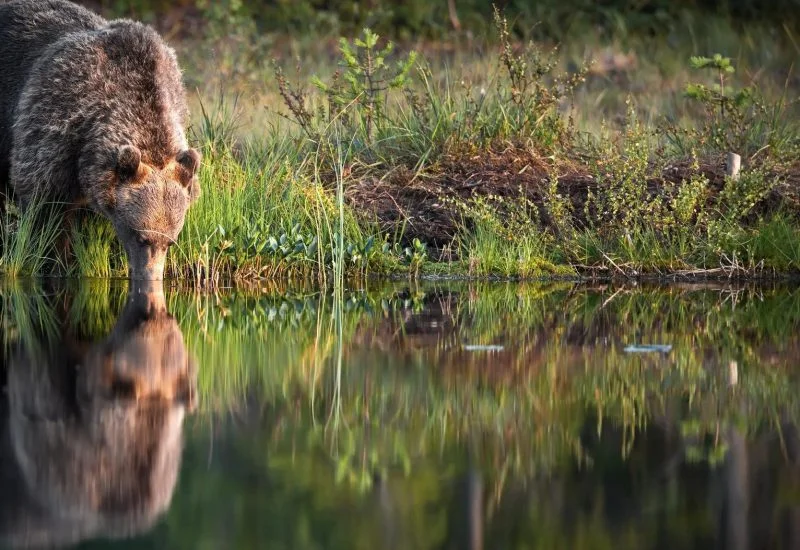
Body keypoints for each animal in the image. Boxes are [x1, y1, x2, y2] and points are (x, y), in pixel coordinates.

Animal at [0, 1, 202, 280]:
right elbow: (47, 212)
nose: (150, 277)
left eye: (170, 241)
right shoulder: (55, 127)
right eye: (140, 237)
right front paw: (56, 260)